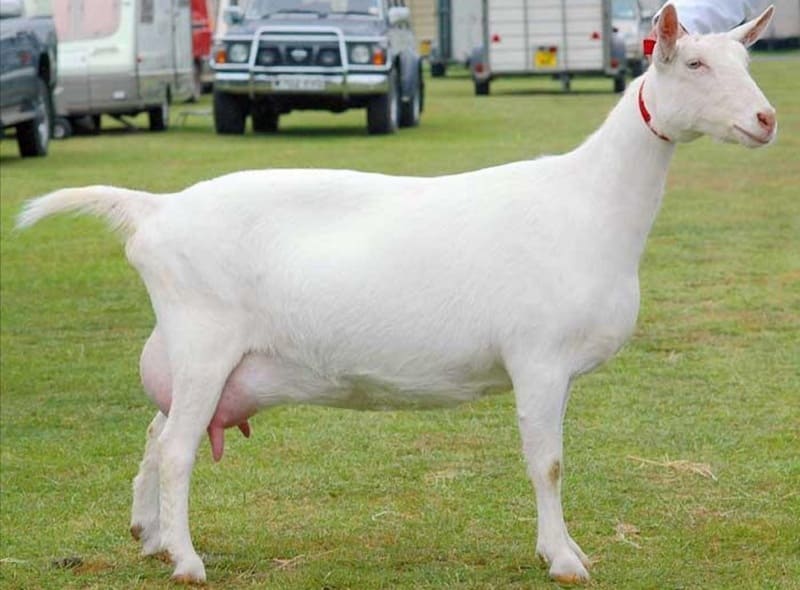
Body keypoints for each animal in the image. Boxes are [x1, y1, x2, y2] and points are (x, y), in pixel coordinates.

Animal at [15, 4, 776, 584]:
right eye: (695, 65)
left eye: (745, 63)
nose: (767, 120)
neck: (589, 201)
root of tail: (155, 210)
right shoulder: (538, 358)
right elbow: (549, 463)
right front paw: (564, 558)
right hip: (204, 340)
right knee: (176, 448)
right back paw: (187, 561)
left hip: (188, 351)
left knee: (156, 433)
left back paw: (148, 535)